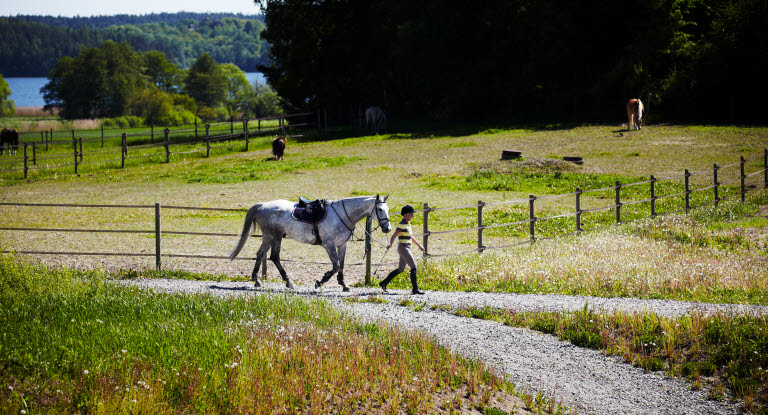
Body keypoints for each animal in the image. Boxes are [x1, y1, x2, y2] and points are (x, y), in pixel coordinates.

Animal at [228, 196, 390, 290]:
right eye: (380, 209)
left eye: (387, 209)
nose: (387, 228)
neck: (343, 214)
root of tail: (263, 205)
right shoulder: (329, 245)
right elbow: (336, 266)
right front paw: (320, 281)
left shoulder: (342, 245)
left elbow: (341, 265)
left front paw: (343, 284)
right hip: (274, 236)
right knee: (274, 256)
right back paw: (288, 282)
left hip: (269, 237)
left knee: (261, 254)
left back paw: (257, 280)